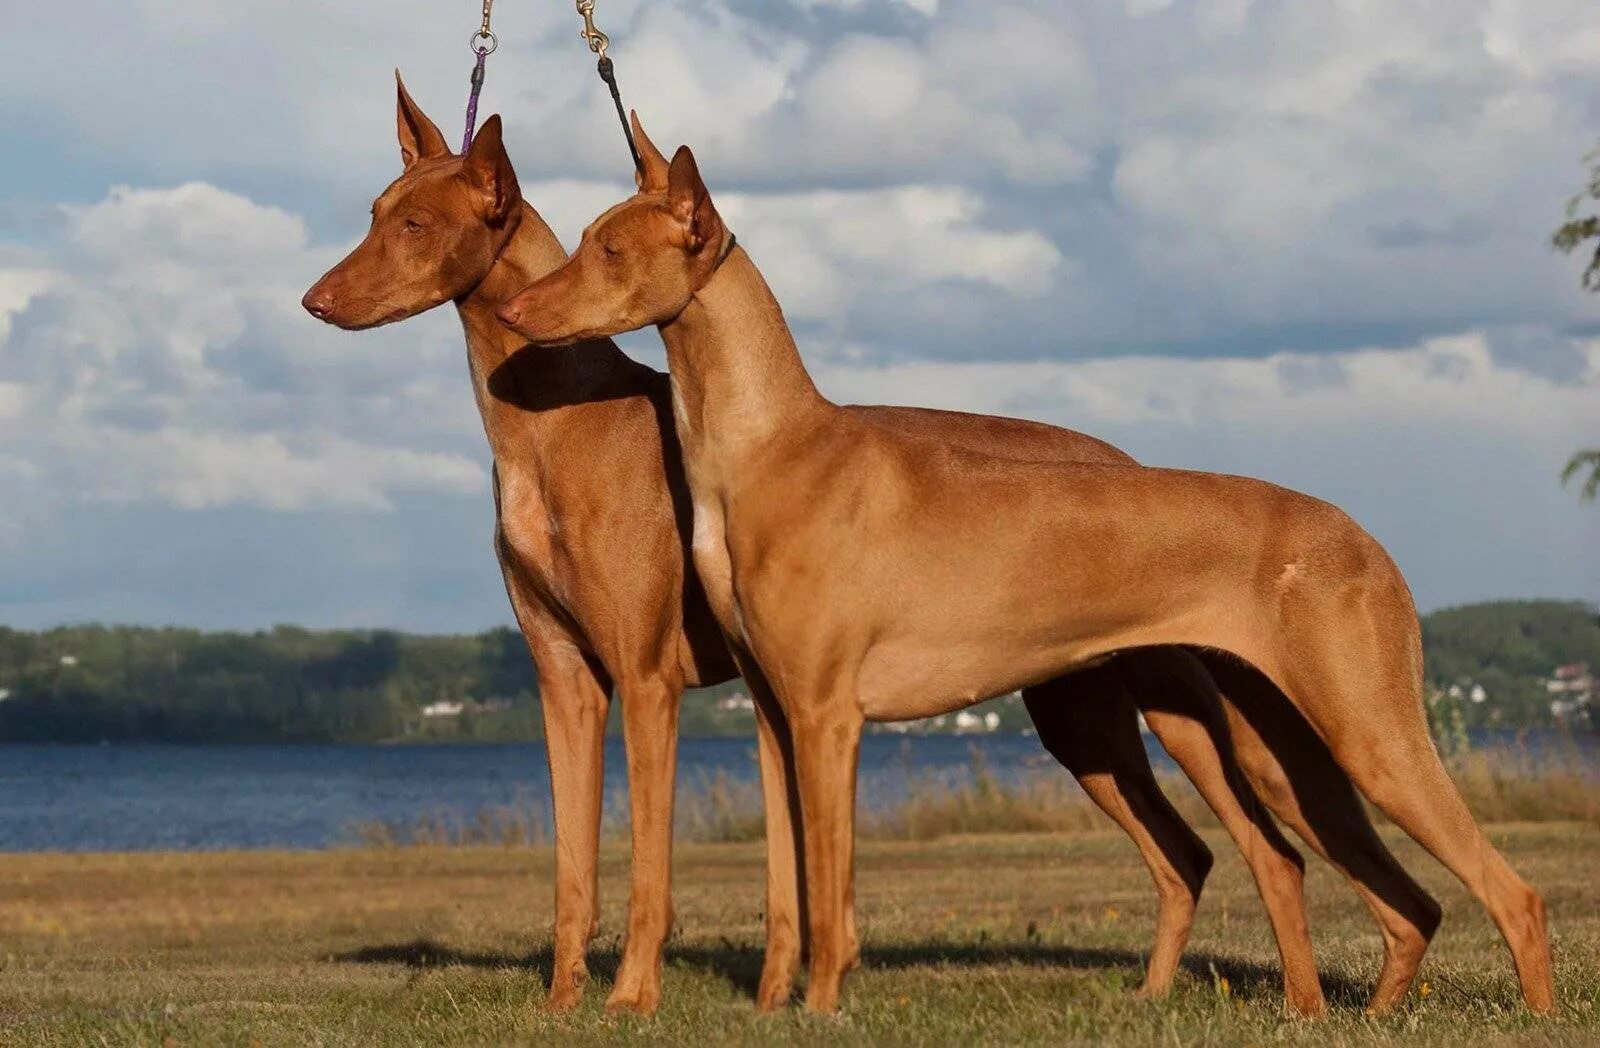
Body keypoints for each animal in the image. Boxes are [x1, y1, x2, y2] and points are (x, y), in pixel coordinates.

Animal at [496, 116, 1548, 1017]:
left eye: (610, 252)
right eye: (583, 237)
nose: (511, 307)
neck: (765, 450)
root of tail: (1364, 538)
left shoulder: (829, 717)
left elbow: (831, 893)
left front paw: (824, 1010)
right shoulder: (772, 713)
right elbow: (791, 889)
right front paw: (772, 1009)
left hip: (1365, 735)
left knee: (1510, 893)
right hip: (1259, 747)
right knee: (1381, 894)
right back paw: (1329, 1013)